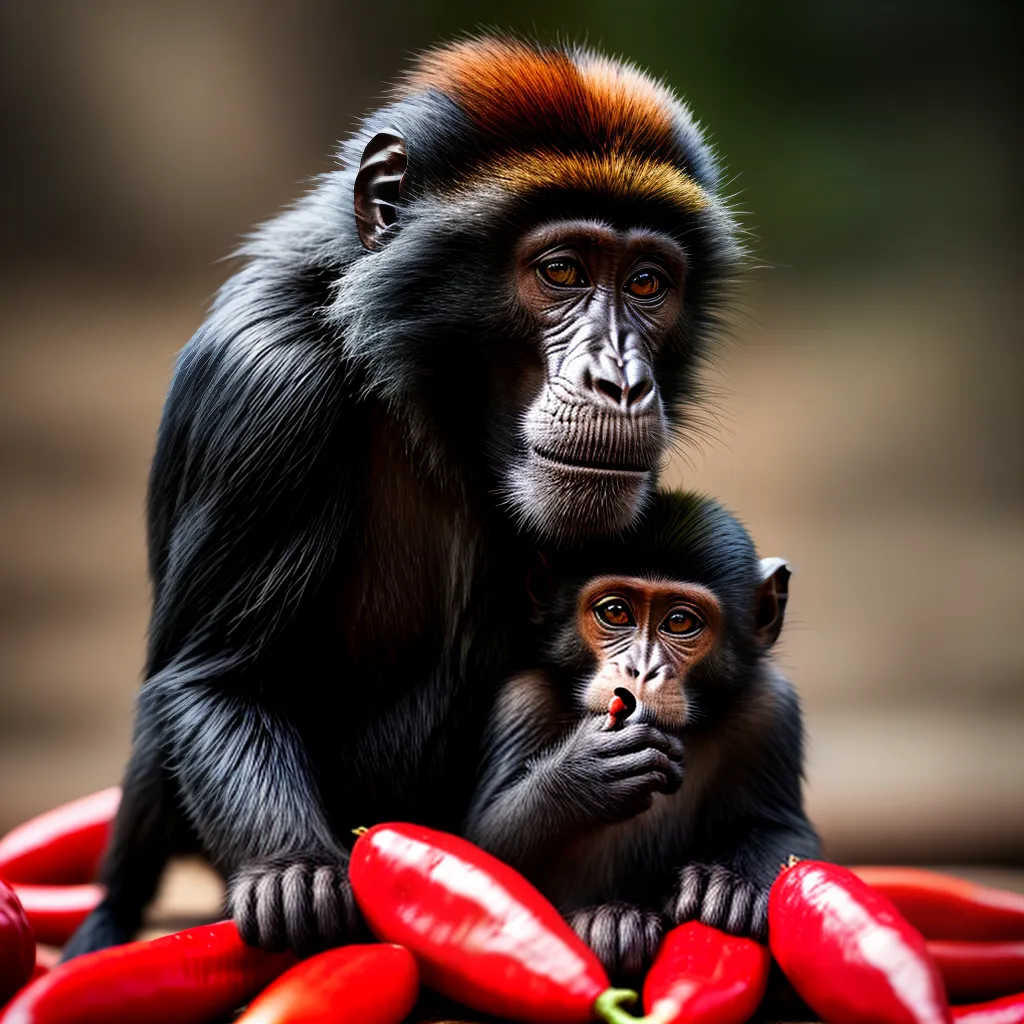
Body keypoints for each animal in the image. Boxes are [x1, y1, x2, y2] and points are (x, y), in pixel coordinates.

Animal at [63, 37, 742, 959]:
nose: (621, 378)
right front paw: (293, 875)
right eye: (563, 270)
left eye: (647, 282)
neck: (415, 379)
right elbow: (222, 678)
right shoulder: (265, 381)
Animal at [463, 490, 821, 984]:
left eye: (680, 621)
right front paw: (586, 775)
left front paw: (729, 885)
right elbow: (485, 848)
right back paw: (613, 922)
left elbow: (788, 831)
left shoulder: (771, 706)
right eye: (615, 612)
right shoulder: (523, 698)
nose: (640, 669)